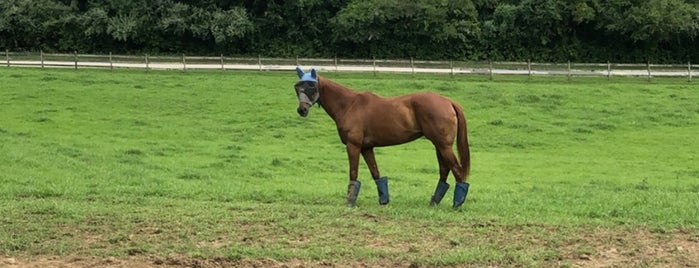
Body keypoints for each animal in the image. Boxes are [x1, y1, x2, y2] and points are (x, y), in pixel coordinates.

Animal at [292, 67, 474, 209]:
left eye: (311, 86)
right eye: (297, 87)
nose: (302, 110)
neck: (349, 105)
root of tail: (448, 101)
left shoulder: (353, 145)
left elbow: (353, 173)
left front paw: (350, 202)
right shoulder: (366, 148)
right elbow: (376, 173)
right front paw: (384, 200)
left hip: (444, 146)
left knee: (457, 170)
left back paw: (457, 204)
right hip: (439, 146)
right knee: (444, 170)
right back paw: (434, 202)